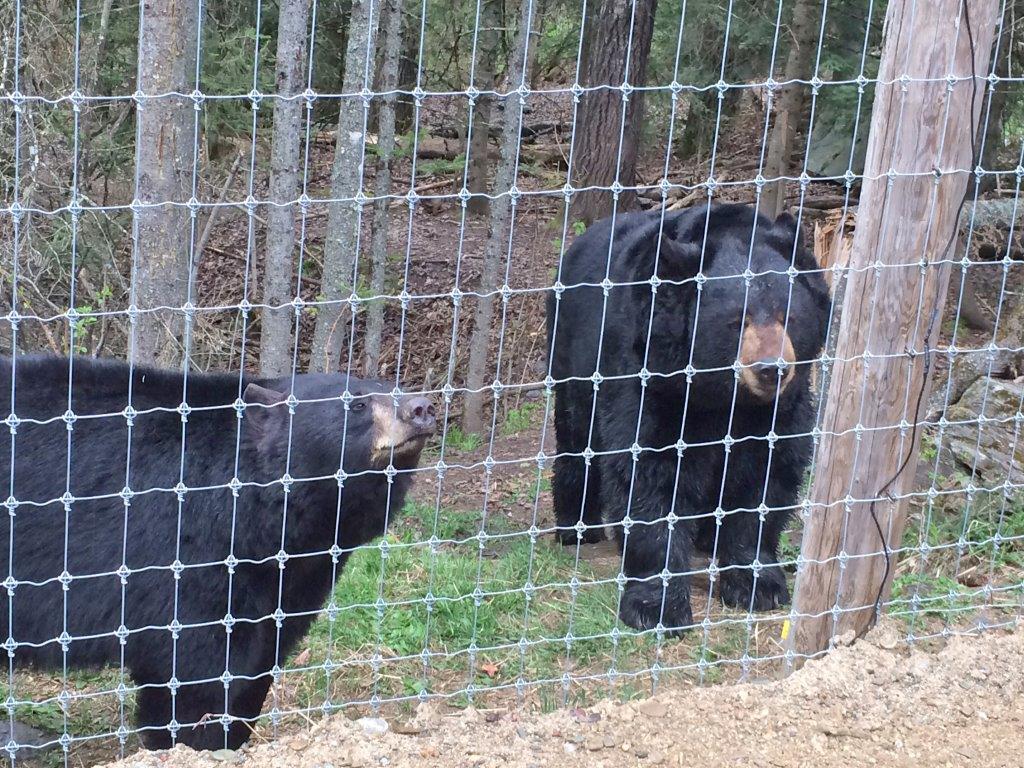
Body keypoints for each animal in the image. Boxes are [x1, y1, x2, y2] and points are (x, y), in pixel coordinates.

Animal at [0, 360, 436, 753]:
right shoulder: (186, 555)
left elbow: (260, 657)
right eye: (357, 404)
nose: (422, 408)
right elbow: (198, 668)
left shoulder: (290, 579)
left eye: (393, 386)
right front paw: (196, 742)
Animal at [548, 204, 827, 638]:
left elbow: (767, 475)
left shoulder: (780, 409)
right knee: (578, 438)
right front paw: (657, 606)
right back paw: (579, 527)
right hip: (572, 356)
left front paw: (758, 584)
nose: (772, 370)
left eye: (790, 316)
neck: (723, 396)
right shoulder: (654, 378)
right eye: (737, 321)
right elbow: (650, 477)